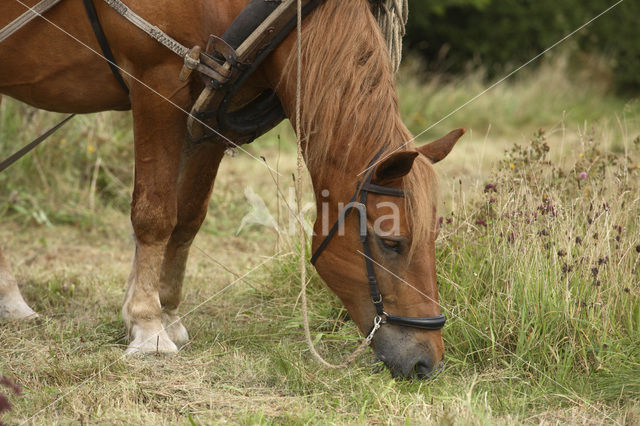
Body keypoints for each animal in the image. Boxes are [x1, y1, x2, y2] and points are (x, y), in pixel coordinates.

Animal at [0, 0, 460, 380]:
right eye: (392, 242)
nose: (427, 361)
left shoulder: (208, 116)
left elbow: (187, 218)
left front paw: (165, 313)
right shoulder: (157, 82)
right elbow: (154, 215)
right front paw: (147, 325)